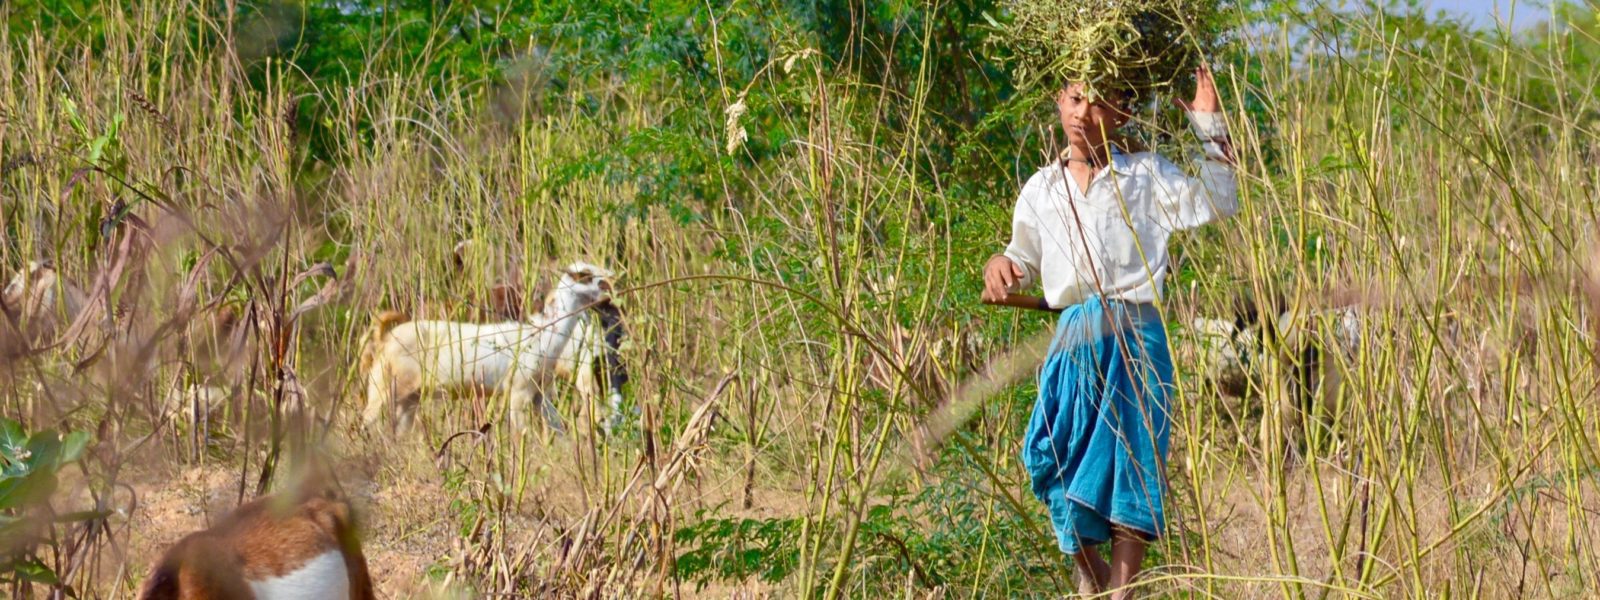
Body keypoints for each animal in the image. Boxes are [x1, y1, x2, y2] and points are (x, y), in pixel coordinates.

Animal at [358, 262, 611, 438]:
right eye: (587, 276)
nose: (611, 290)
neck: (543, 336)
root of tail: (385, 337)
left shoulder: (540, 392)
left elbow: (557, 427)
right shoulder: (518, 390)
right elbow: (520, 433)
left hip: (410, 397)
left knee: (399, 430)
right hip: (384, 385)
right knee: (366, 420)